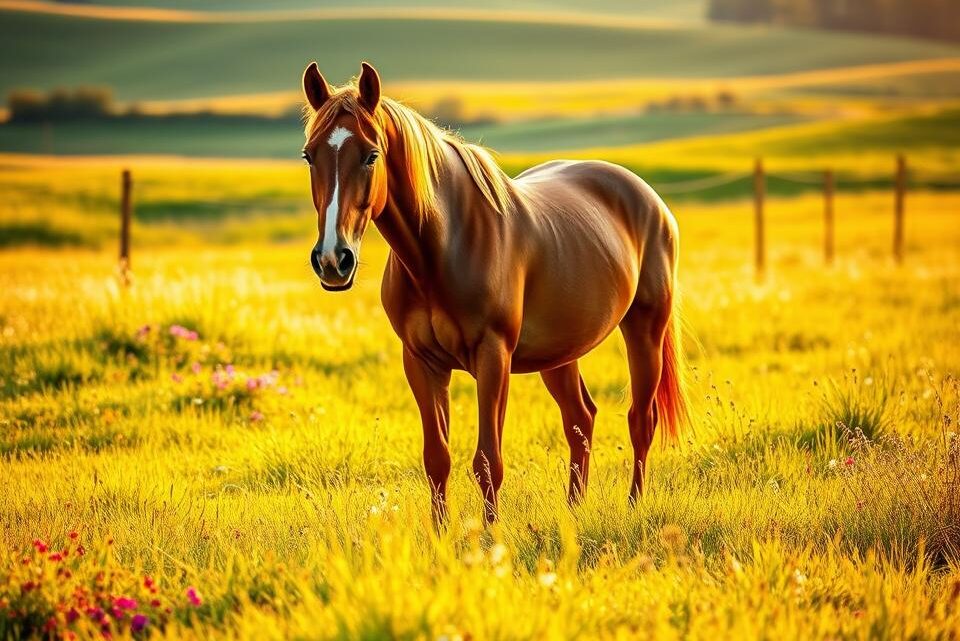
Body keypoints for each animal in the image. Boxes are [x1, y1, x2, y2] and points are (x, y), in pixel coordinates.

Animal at [301, 61, 689, 524]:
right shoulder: (421, 362)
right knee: (581, 420)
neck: (443, 248)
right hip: (559, 355)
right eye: (309, 155)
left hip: (645, 330)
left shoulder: (493, 357)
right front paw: (442, 533)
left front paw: (490, 534)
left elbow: (488, 461)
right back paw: (574, 511)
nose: (332, 259)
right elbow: (437, 459)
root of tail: (649, 199)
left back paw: (633, 505)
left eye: (371, 155)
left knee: (639, 420)